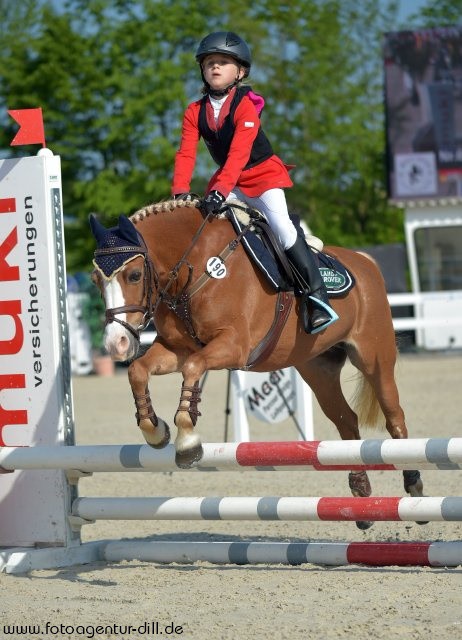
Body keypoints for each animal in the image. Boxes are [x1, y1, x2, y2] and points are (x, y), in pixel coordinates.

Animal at [88, 198, 424, 528]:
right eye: (95, 281)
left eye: (134, 275)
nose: (116, 343)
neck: (196, 269)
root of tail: (366, 262)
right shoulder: (176, 349)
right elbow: (138, 370)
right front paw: (155, 431)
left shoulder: (234, 346)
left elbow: (193, 367)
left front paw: (187, 442)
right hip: (318, 369)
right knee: (346, 421)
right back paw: (361, 495)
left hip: (374, 357)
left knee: (394, 416)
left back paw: (414, 487)